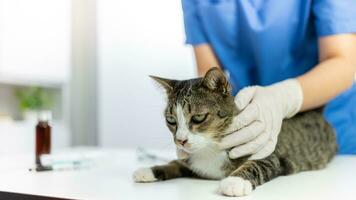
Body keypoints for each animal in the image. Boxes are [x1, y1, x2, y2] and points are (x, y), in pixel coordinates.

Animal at [133, 67, 336, 197]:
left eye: (198, 117)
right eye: (171, 120)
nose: (180, 141)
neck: (210, 149)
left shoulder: (271, 154)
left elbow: (257, 164)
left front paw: (234, 181)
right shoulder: (191, 162)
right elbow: (176, 163)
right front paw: (150, 169)